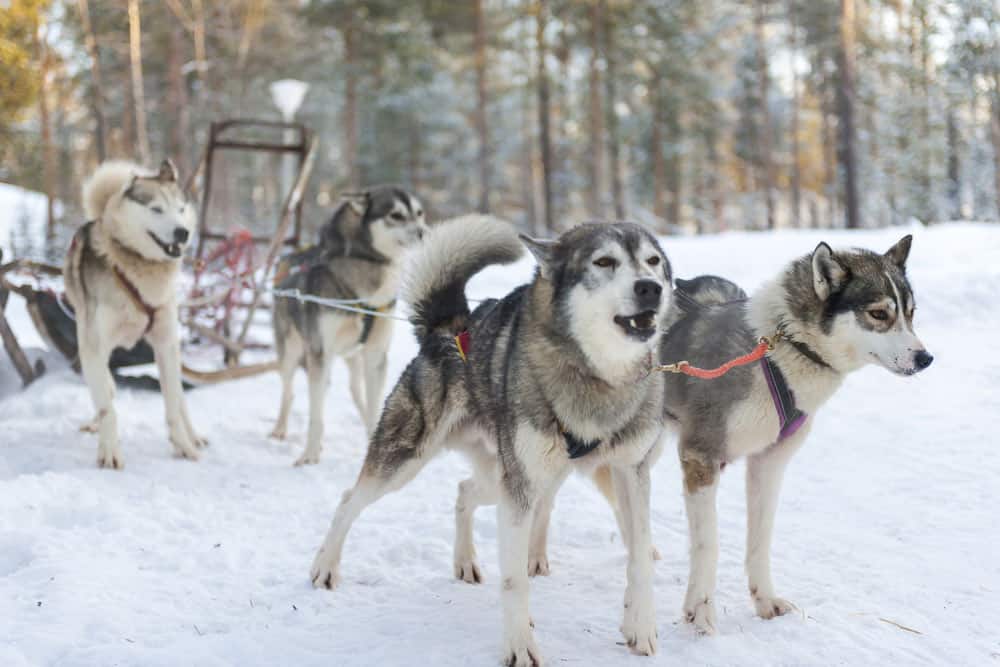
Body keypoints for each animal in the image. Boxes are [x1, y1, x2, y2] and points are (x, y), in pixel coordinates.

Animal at [65, 160, 203, 470]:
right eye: (156, 209)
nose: (182, 233)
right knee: (105, 386)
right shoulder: (94, 347)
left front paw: (183, 445)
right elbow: (107, 406)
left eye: (180, 209)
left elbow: (173, 405)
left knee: (179, 397)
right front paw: (109, 452)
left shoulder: (165, 345)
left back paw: (194, 435)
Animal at [272, 185, 428, 468]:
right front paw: (310, 453)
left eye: (419, 213)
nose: (426, 232)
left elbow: (374, 404)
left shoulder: (376, 354)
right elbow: (315, 415)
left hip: (353, 357)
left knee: (357, 392)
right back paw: (280, 428)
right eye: (396, 215)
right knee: (290, 391)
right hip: (291, 352)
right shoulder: (320, 352)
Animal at [306, 218, 672, 664]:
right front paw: (519, 646)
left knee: (464, 491)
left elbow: (640, 556)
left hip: (510, 479)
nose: (650, 287)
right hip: (410, 460)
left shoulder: (630, 473)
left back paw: (464, 561)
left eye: (653, 262)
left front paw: (640, 626)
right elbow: (514, 579)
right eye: (604, 261)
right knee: (349, 500)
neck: (599, 381)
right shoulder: (520, 492)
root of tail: (447, 328)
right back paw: (325, 567)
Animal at [588, 236, 932, 636]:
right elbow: (708, 544)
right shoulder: (700, 458)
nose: (925, 358)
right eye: (879, 314)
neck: (780, 353)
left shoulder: (768, 464)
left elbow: (760, 539)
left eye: (911, 313)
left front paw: (764, 600)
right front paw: (700, 612)